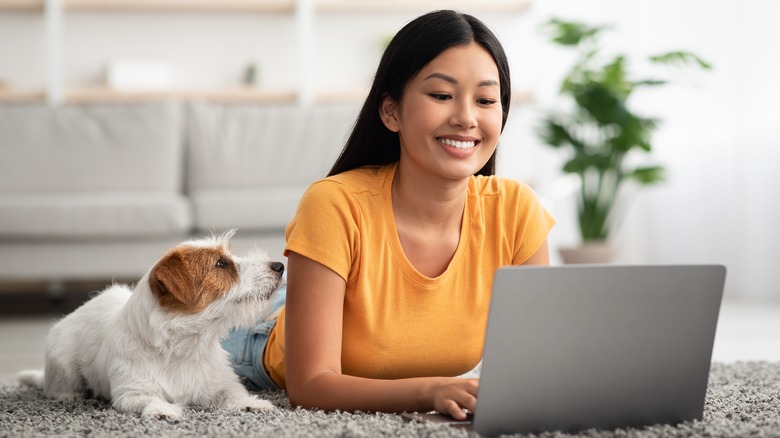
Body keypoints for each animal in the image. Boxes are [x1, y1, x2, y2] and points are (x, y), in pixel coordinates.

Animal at [17, 228, 284, 420]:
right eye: (221, 264)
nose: (279, 266)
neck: (185, 347)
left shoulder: (221, 383)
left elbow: (234, 394)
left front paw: (252, 403)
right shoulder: (132, 392)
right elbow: (150, 398)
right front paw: (163, 410)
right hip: (62, 360)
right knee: (56, 386)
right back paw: (70, 395)